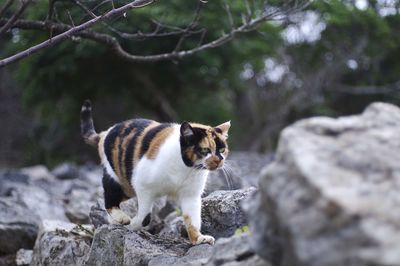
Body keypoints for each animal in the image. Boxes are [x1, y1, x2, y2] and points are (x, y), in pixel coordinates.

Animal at [79, 100, 230, 245]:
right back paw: (121, 218)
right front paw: (133, 225)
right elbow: (146, 217)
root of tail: (105, 132)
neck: (186, 169)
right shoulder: (142, 185)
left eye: (222, 150)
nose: (219, 160)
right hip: (118, 179)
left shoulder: (190, 195)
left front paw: (198, 238)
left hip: (128, 188)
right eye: (205, 150)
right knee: (109, 198)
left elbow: (192, 218)